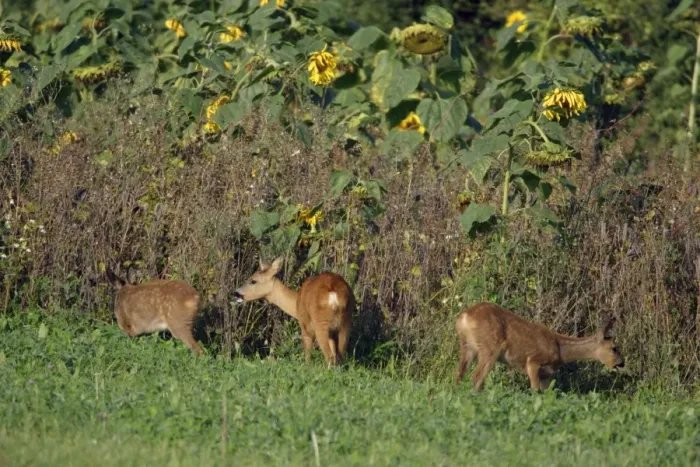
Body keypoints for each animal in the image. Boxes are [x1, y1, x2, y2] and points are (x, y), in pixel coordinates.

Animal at [455, 302, 624, 392]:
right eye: (614, 347)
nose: (622, 363)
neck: (560, 350)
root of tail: (464, 317)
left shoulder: (547, 374)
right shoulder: (533, 361)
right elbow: (535, 390)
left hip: (467, 346)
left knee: (459, 374)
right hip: (490, 347)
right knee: (476, 377)